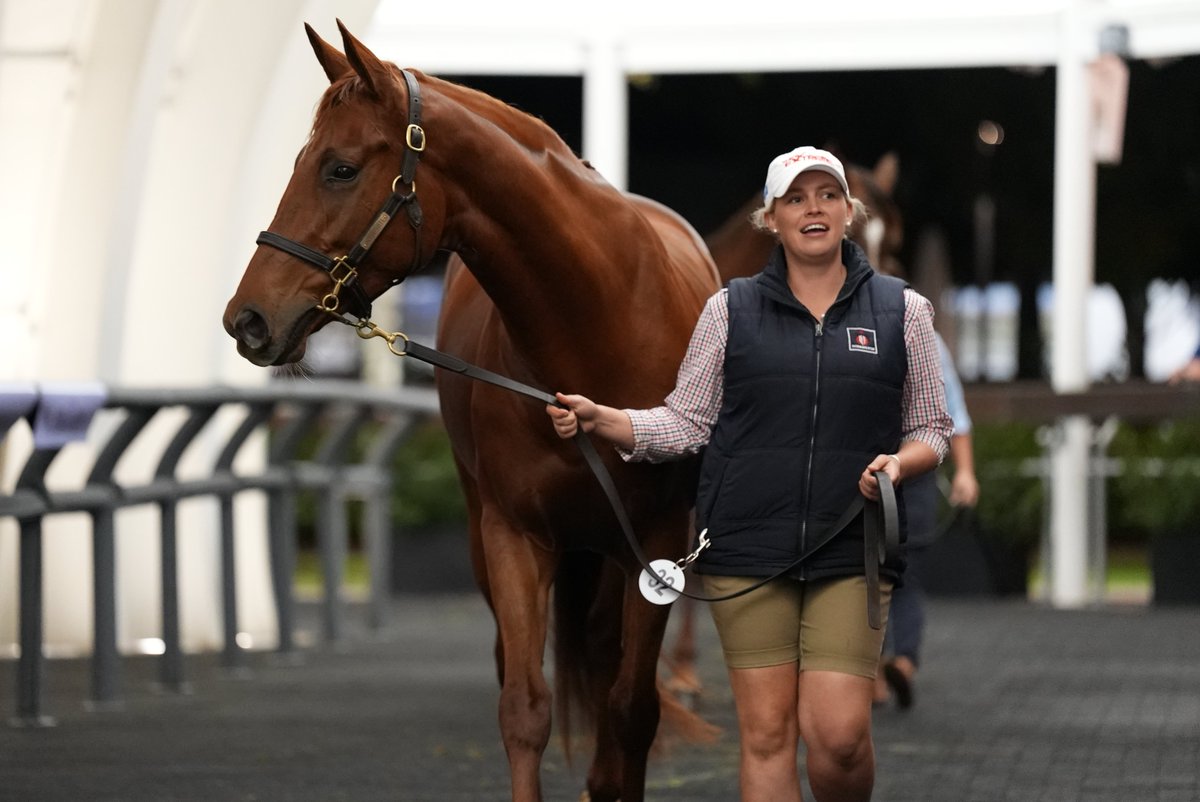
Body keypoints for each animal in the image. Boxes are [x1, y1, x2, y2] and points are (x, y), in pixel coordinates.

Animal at [222, 18, 715, 802]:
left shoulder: (659, 543)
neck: (598, 334)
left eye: (339, 168)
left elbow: (633, 711)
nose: (247, 319)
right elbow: (524, 709)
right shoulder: (515, 536)